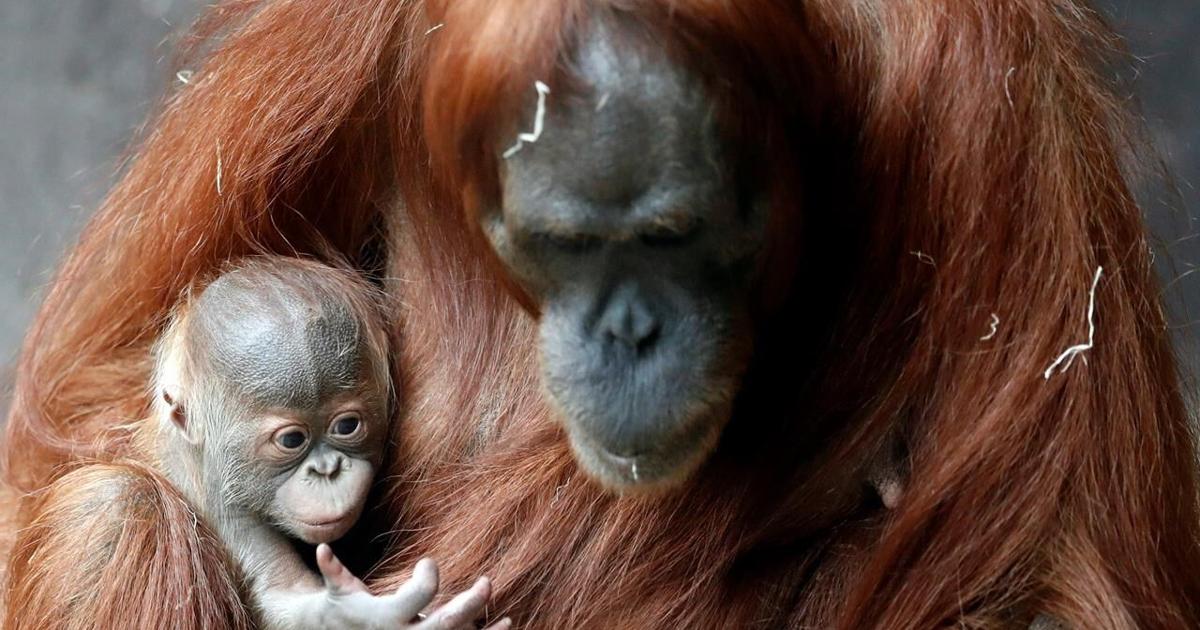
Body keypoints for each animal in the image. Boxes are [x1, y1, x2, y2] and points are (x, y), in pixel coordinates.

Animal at [146, 257, 509, 630]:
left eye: (347, 426)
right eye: (292, 440)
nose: (327, 469)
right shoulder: (220, 495)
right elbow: (280, 593)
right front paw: (357, 614)